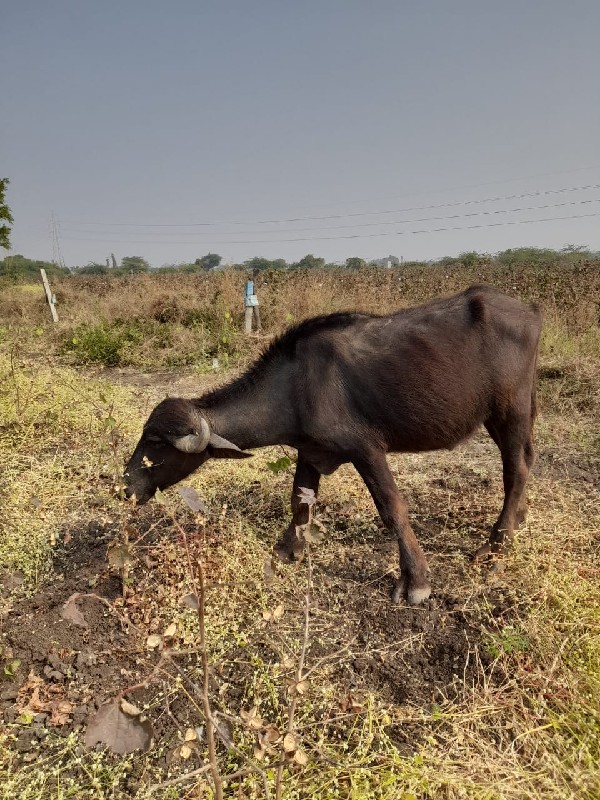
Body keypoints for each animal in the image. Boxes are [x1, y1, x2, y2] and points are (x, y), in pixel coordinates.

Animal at [124, 284, 540, 604]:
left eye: (155, 440)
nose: (126, 485)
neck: (295, 386)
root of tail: (529, 310)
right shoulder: (310, 453)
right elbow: (299, 501)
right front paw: (288, 548)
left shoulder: (366, 450)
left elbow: (393, 509)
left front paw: (416, 581)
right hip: (500, 417)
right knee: (523, 462)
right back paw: (514, 522)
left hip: (511, 410)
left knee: (515, 469)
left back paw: (496, 544)